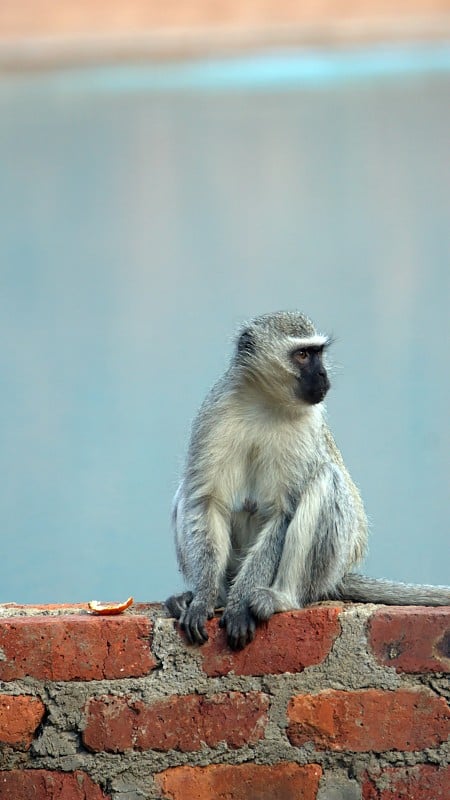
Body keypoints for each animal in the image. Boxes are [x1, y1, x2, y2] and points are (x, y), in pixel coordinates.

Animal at [166, 308, 450, 648]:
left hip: (326, 568)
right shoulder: (215, 413)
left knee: (324, 480)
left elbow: (282, 512)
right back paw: (211, 596)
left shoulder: (306, 426)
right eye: (302, 355)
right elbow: (205, 501)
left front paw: (237, 607)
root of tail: (340, 574)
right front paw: (203, 600)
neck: (265, 402)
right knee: (187, 494)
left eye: (319, 353)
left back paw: (279, 599)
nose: (324, 376)